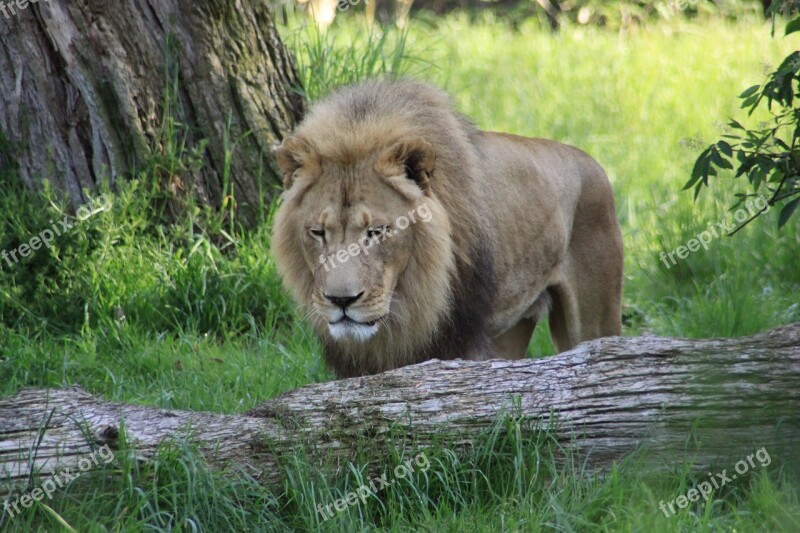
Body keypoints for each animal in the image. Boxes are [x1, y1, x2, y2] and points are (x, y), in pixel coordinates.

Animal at [272, 79, 620, 378]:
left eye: (377, 232)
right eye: (318, 232)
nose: (341, 301)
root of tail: (593, 162)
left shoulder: (460, 343)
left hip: (595, 316)